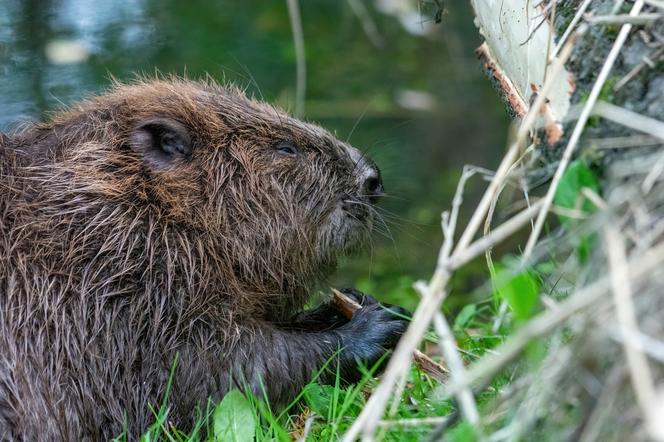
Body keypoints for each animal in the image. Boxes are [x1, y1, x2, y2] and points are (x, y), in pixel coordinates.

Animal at [0, 77, 410, 440]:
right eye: (285, 149)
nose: (372, 178)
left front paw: (354, 303)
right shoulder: (122, 283)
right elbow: (219, 375)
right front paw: (379, 325)